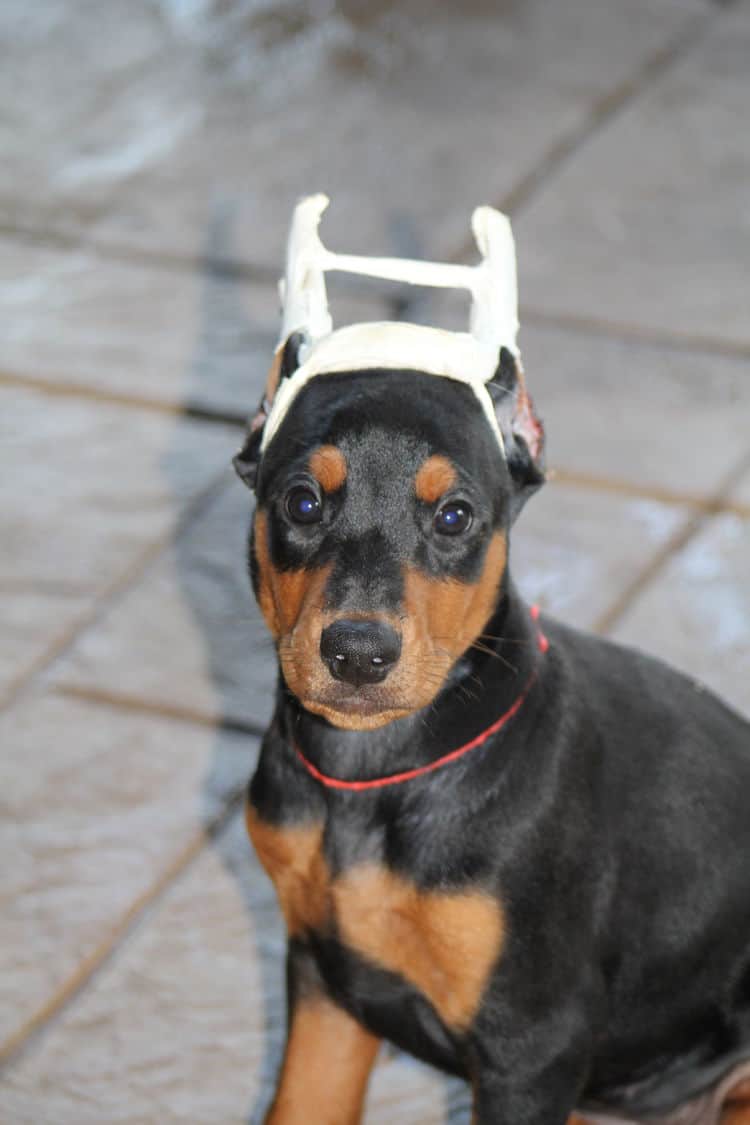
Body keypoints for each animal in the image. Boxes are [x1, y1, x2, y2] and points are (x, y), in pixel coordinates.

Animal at [235, 335, 750, 1125]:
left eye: (454, 516)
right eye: (302, 501)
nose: (357, 653)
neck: (375, 770)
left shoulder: (533, 1041)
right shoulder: (324, 979)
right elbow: (302, 1102)